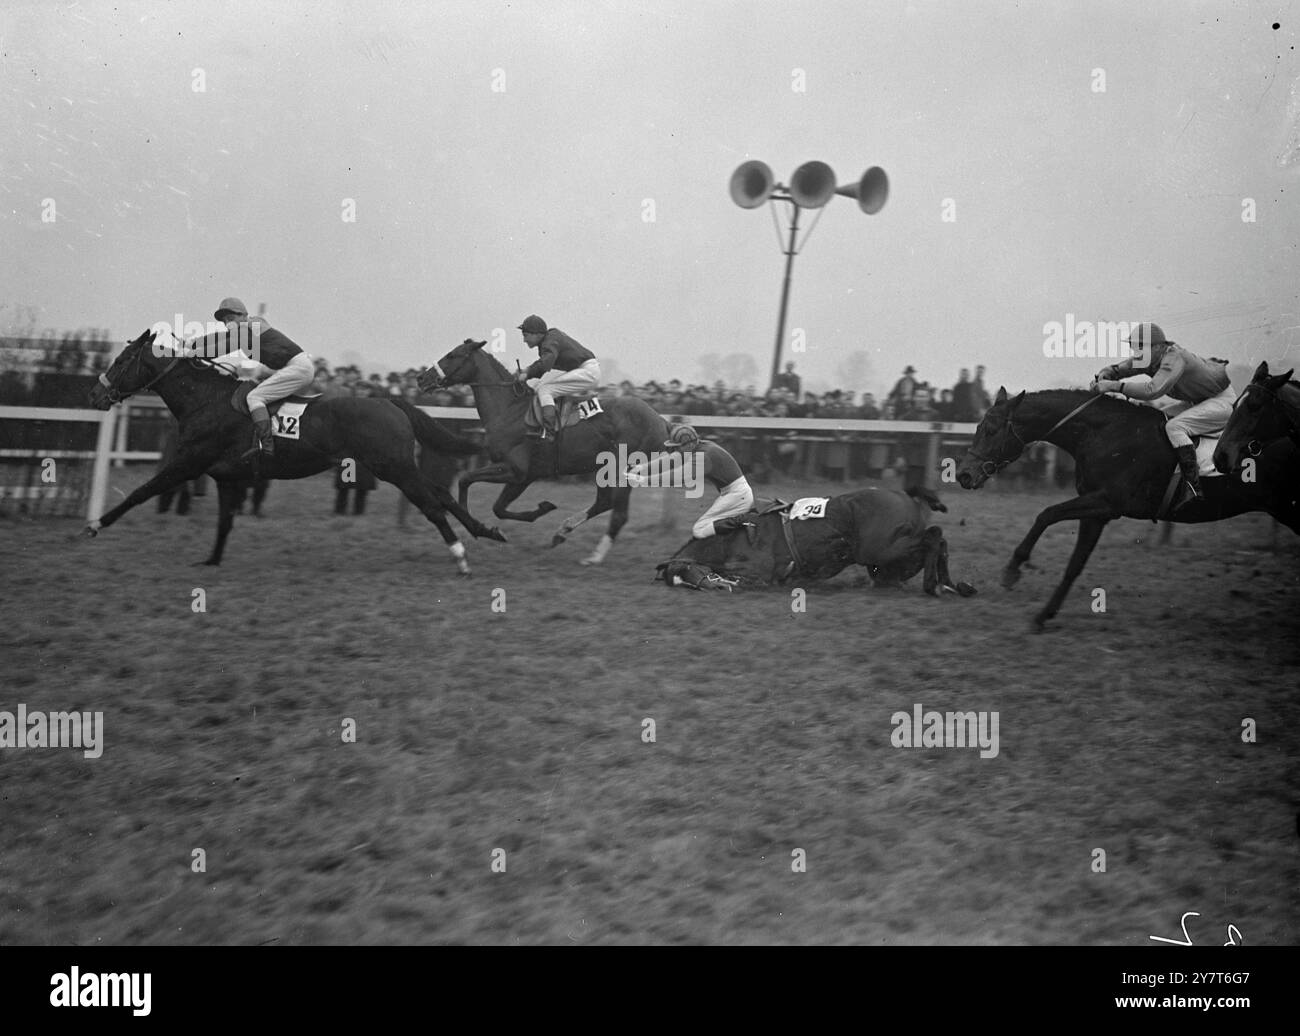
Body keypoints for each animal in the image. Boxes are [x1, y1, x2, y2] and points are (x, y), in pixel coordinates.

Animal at [83, 328, 504, 574]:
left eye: (121, 360)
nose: (96, 395)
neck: (205, 400)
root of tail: (390, 401)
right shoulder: (225, 476)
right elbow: (224, 521)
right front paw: (212, 560)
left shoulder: (189, 462)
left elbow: (141, 492)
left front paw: (95, 525)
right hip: (397, 466)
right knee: (441, 493)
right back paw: (485, 531)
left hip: (393, 467)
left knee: (432, 503)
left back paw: (460, 555)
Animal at [418, 340, 670, 561]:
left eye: (452, 355)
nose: (422, 378)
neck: (510, 410)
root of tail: (660, 420)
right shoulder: (525, 476)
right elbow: (499, 508)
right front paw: (536, 511)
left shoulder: (515, 470)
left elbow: (466, 480)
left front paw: (476, 526)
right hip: (608, 469)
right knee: (604, 503)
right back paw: (563, 531)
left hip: (621, 469)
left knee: (617, 514)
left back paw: (594, 557)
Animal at [660, 483, 977, 595]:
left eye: (687, 573)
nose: (708, 588)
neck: (729, 539)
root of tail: (904, 495)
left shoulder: (760, 570)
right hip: (889, 563)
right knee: (937, 541)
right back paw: (952, 584)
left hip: (881, 549)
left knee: (934, 537)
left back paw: (934, 585)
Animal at [956, 387, 1300, 631]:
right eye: (978, 426)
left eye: (990, 429)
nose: (963, 475)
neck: (1104, 433)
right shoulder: (1098, 512)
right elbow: (1074, 564)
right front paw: (1044, 615)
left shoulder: (1107, 501)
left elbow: (1046, 514)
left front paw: (1013, 569)